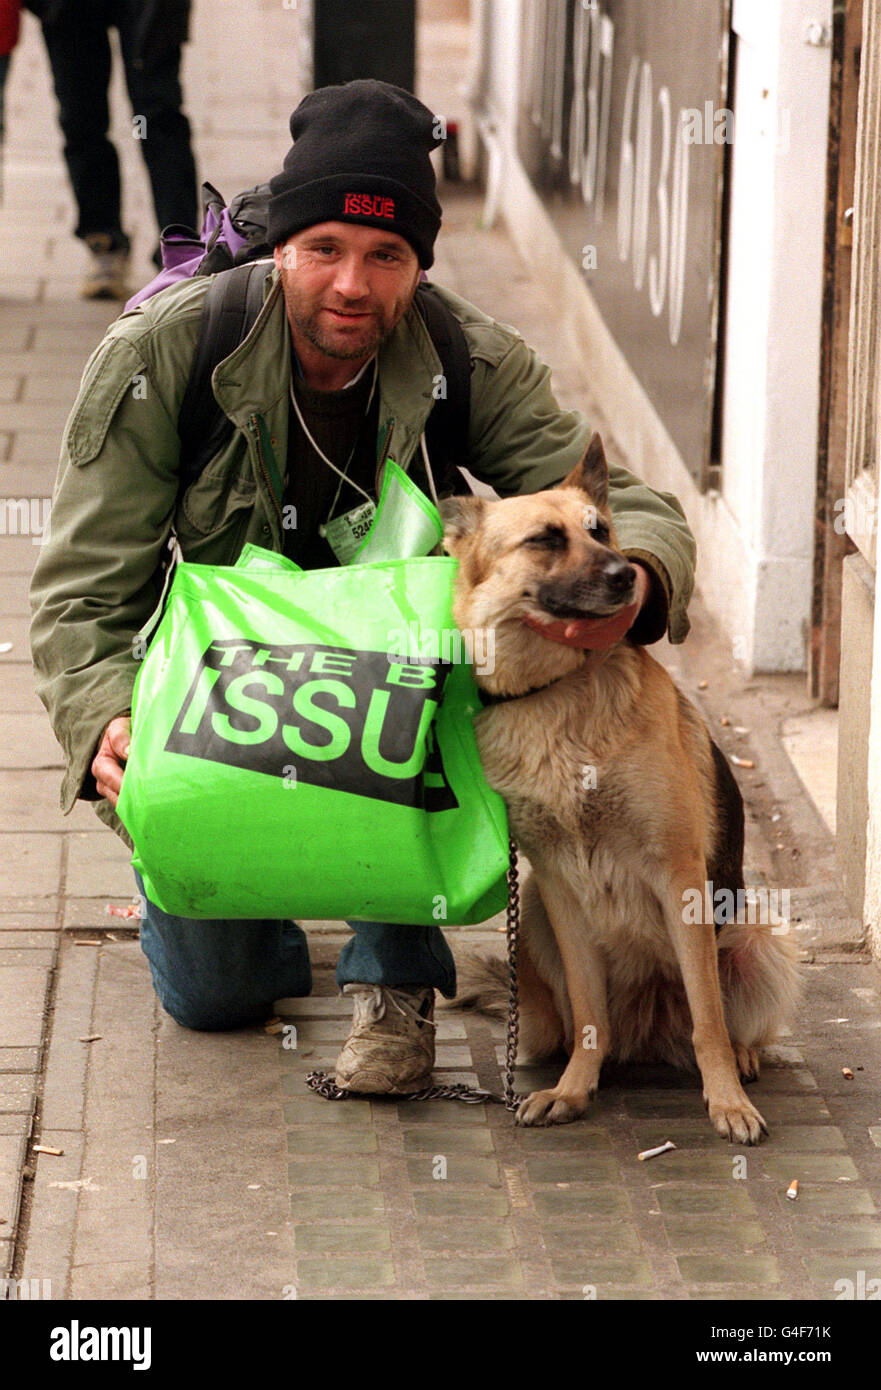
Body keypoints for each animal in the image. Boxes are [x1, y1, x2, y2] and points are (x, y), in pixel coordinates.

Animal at [439, 433, 794, 1139]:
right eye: (546, 540)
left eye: (600, 530)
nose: (627, 575)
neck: (557, 696)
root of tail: (649, 1029)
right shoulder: (557, 884)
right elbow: (588, 1011)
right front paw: (575, 1090)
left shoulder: (679, 873)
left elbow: (709, 1018)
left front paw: (726, 1103)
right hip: (535, 920)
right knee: (585, 1023)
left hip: (753, 931)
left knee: (723, 1020)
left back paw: (741, 1060)